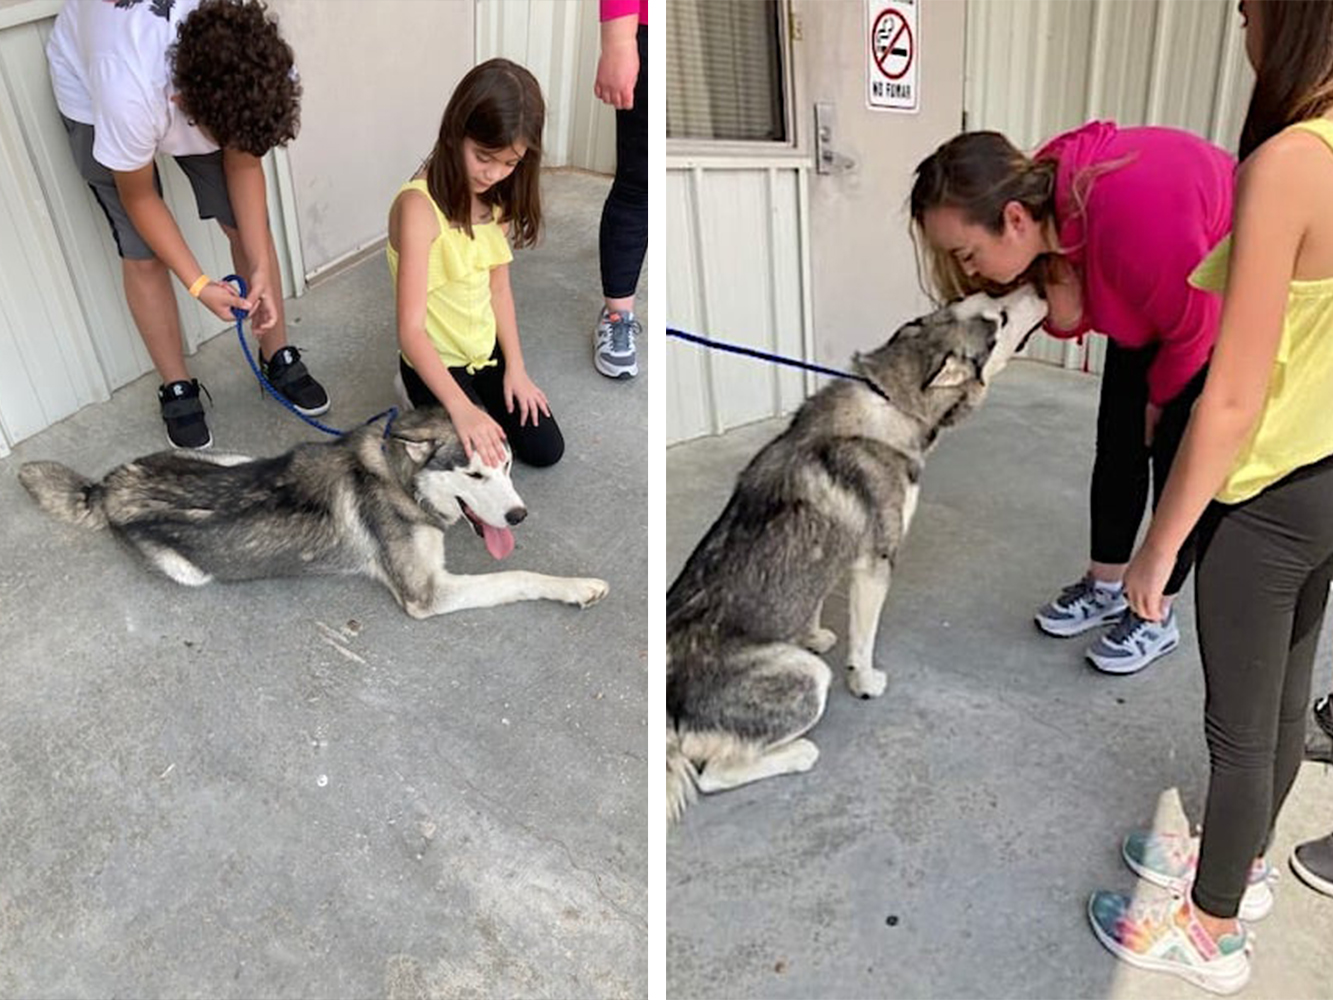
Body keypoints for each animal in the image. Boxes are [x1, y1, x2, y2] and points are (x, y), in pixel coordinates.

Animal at [18, 407, 608, 618]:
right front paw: (577, 587)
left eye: (506, 465)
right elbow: (517, 576)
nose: (519, 515)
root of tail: (108, 486)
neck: (398, 478)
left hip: (234, 456)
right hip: (189, 570)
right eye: (475, 475)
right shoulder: (426, 594)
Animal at [666, 287, 1047, 823]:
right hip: (806, 679)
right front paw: (865, 681)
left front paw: (813, 633)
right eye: (1002, 319)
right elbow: (863, 641)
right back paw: (800, 753)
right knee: (714, 775)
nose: (1037, 287)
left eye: (987, 297)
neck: (891, 399)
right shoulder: (876, 561)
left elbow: (815, 596)